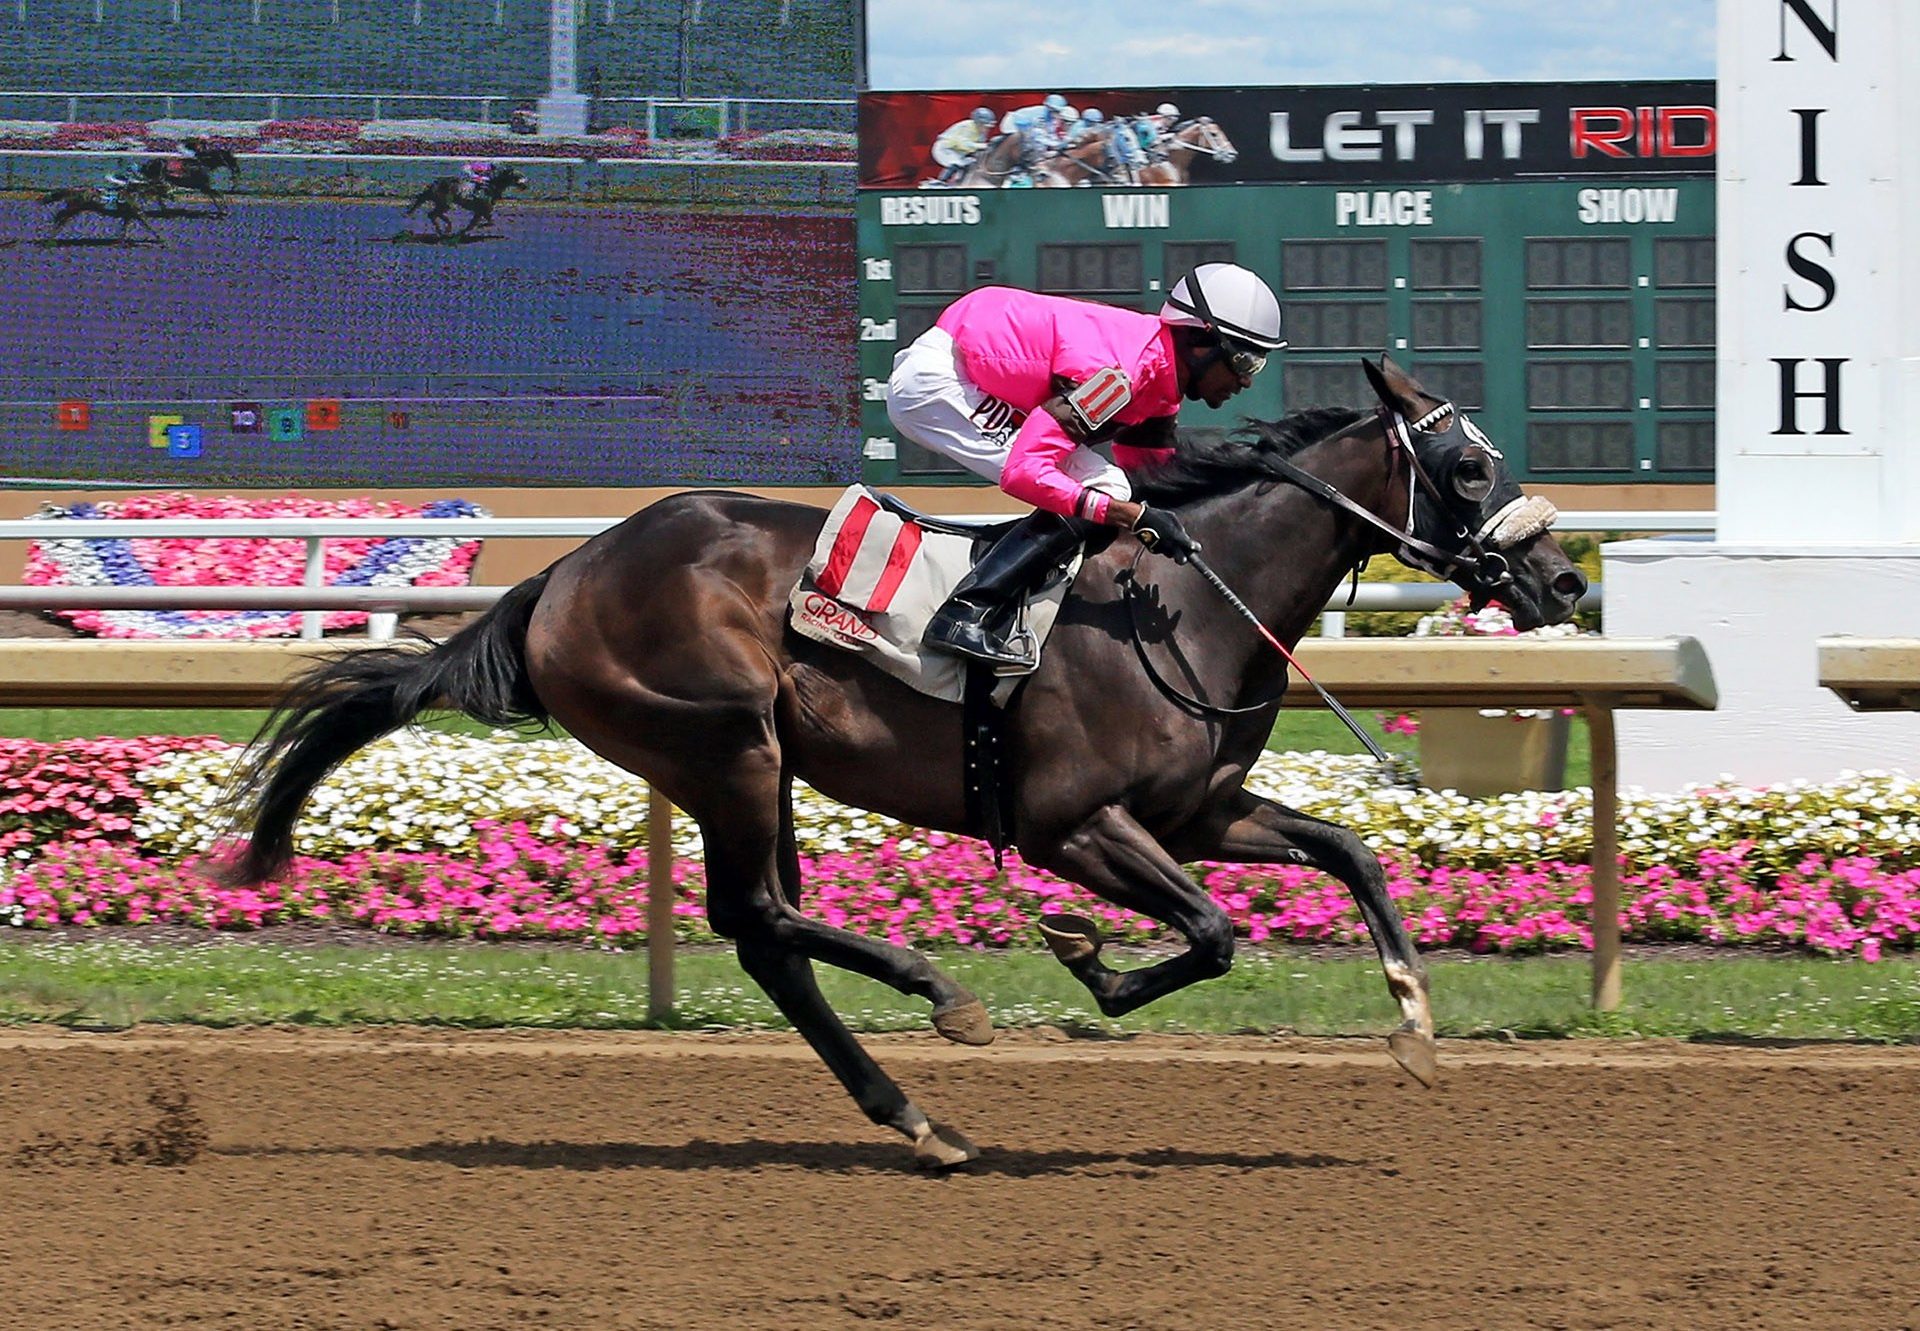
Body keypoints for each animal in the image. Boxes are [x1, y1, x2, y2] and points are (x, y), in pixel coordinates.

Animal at [217, 359, 1582, 1167]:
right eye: (1468, 466)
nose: (1562, 579)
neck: (1189, 600)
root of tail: (558, 573)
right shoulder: (1071, 821)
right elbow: (1208, 932)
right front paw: (1084, 957)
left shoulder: (1197, 808)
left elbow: (1345, 850)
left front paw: (1416, 1028)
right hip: (728, 741)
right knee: (759, 915)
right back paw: (941, 1002)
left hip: (747, 760)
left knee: (767, 931)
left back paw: (916, 1109)